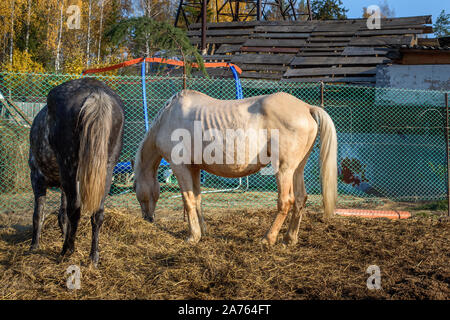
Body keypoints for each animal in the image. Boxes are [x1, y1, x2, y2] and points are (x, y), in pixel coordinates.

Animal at [28, 78, 124, 264]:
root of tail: (96, 93)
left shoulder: (37, 177)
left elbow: (38, 214)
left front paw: (34, 246)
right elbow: (62, 214)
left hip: (69, 165)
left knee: (75, 210)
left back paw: (67, 251)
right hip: (106, 168)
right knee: (97, 213)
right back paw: (93, 257)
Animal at [134, 90, 338, 245]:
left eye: (136, 188)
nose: (147, 219)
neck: (167, 118)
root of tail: (307, 108)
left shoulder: (181, 167)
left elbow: (188, 200)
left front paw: (193, 236)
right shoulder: (194, 168)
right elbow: (197, 199)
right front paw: (203, 231)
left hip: (284, 169)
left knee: (285, 201)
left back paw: (268, 239)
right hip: (297, 169)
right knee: (300, 199)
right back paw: (289, 239)